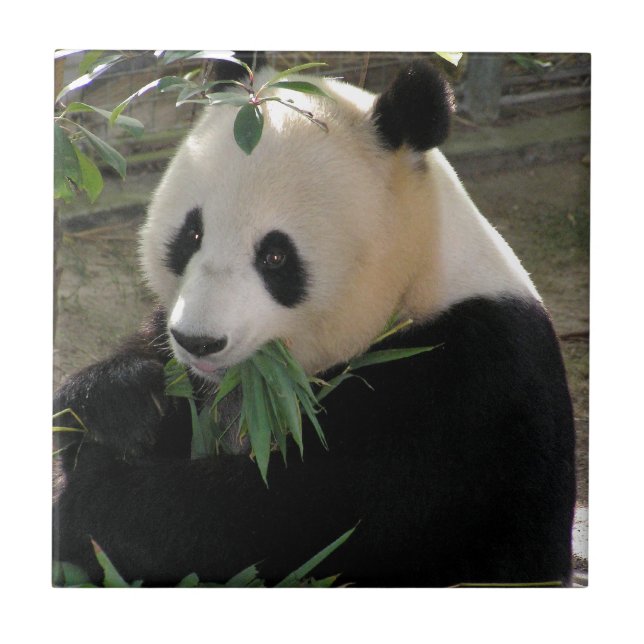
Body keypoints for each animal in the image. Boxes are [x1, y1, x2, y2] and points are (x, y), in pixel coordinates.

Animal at [53, 60, 576, 587]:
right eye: (191, 234)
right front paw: (122, 404)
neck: (414, 286)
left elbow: (298, 520)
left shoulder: (463, 386)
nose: (198, 342)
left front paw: (92, 504)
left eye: (275, 256)